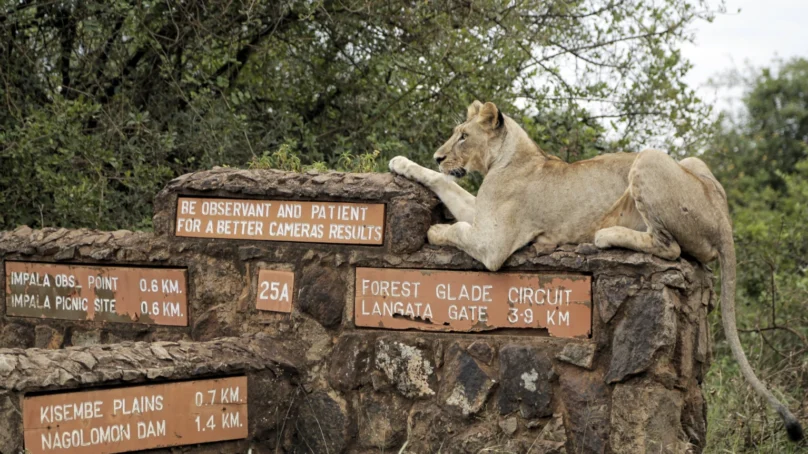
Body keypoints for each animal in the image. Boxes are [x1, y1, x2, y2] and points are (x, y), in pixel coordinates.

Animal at [388, 100, 804, 442]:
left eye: (463, 136)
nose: (439, 155)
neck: (510, 156)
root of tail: (723, 217)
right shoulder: (482, 215)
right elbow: (444, 185)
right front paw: (401, 163)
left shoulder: (494, 244)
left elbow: (456, 228)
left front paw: (433, 230)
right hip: (690, 162)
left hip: (649, 160)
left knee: (669, 247)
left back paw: (605, 235)